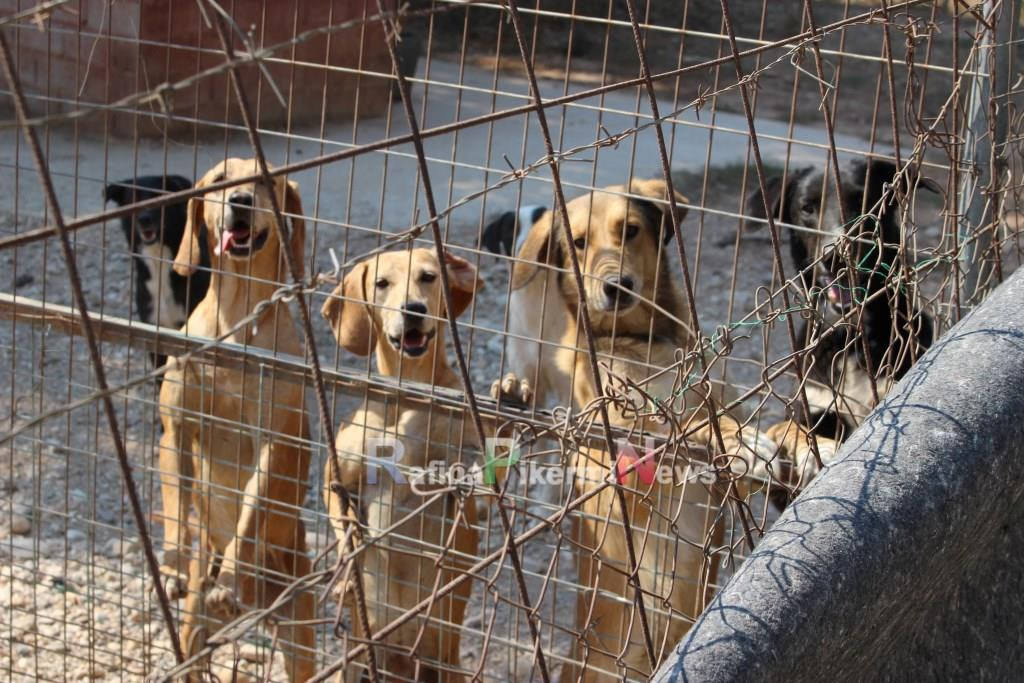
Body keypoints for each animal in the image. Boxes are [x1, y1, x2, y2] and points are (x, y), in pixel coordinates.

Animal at [156, 158, 311, 679]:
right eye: (220, 179)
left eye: (266, 180)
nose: (239, 201)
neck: (238, 320)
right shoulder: (175, 433)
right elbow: (175, 503)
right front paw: (173, 564)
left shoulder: (271, 445)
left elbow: (249, 512)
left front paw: (231, 578)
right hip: (192, 633)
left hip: (299, 634)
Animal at [319, 248, 483, 679]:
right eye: (382, 283)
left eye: (428, 277)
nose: (413, 309)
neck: (406, 391)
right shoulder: (334, 477)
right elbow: (343, 519)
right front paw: (347, 563)